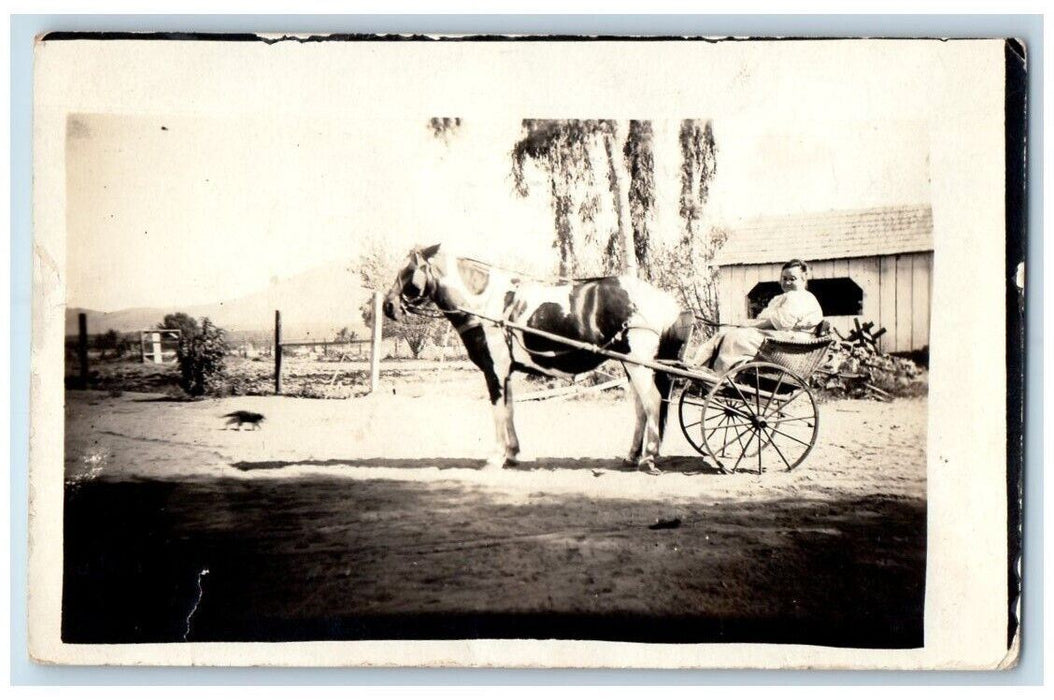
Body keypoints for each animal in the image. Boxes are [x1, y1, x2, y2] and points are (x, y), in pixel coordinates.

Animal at [381, 243, 691, 472]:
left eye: (409, 270)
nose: (388, 305)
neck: (486, 303)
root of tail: (664, 300)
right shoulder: (506, 372)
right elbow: (509, 409)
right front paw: (512, 454)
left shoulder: (494, 371)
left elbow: (498, 410)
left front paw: (496, 457)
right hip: (631, 365)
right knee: (640, 407)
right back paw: (632, 455)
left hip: (638, 364)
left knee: (651, 402)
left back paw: (648, 457)